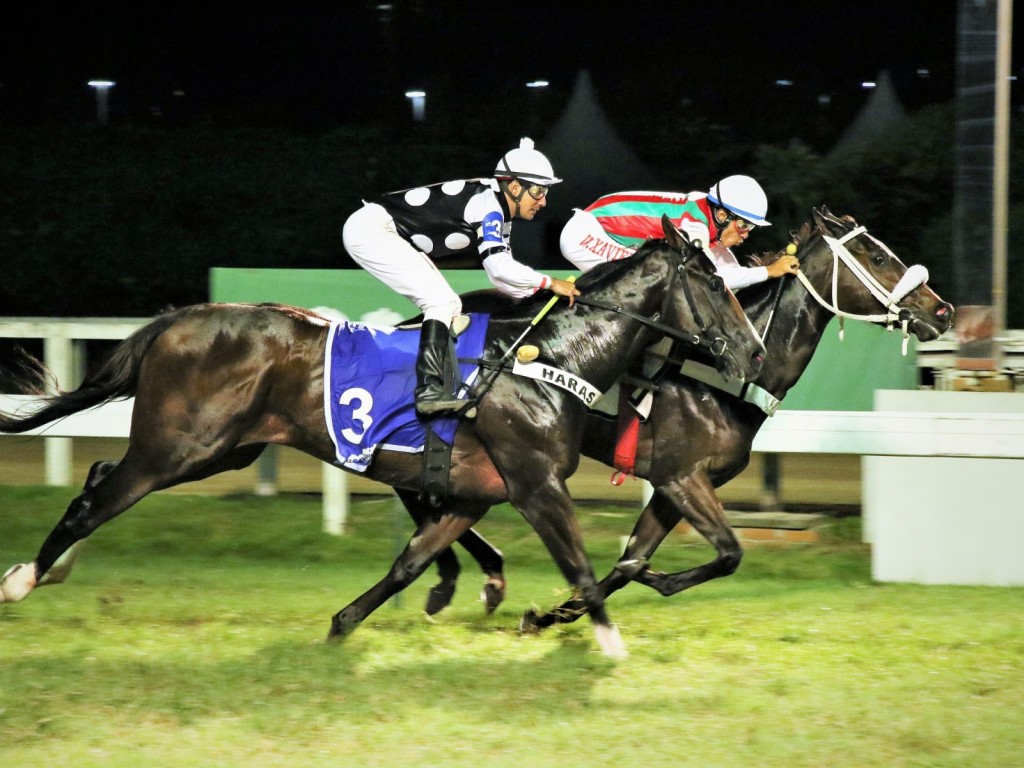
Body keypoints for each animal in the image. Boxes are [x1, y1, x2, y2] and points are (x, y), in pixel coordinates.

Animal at [0, 218, 765, 663]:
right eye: (713, 283)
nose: (753, 353)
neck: (548, 358)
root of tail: (178, 319)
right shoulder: (536, 486)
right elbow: (578, 566)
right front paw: (604, 643)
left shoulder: (475, 494)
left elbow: (410, 562)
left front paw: (342, 626)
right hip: (181, 447)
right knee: (95, 499)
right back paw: (25, 578)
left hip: (219, 450)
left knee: (100, 472)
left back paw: (51, 569)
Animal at [397, 207, 950, 626]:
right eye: (877, 255)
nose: (942, 311)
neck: (727, 374)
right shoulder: (683, 476)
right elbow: (727, 554)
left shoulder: (671, 484)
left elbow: (632, 560)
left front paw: (555, 614)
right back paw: (457, 575)